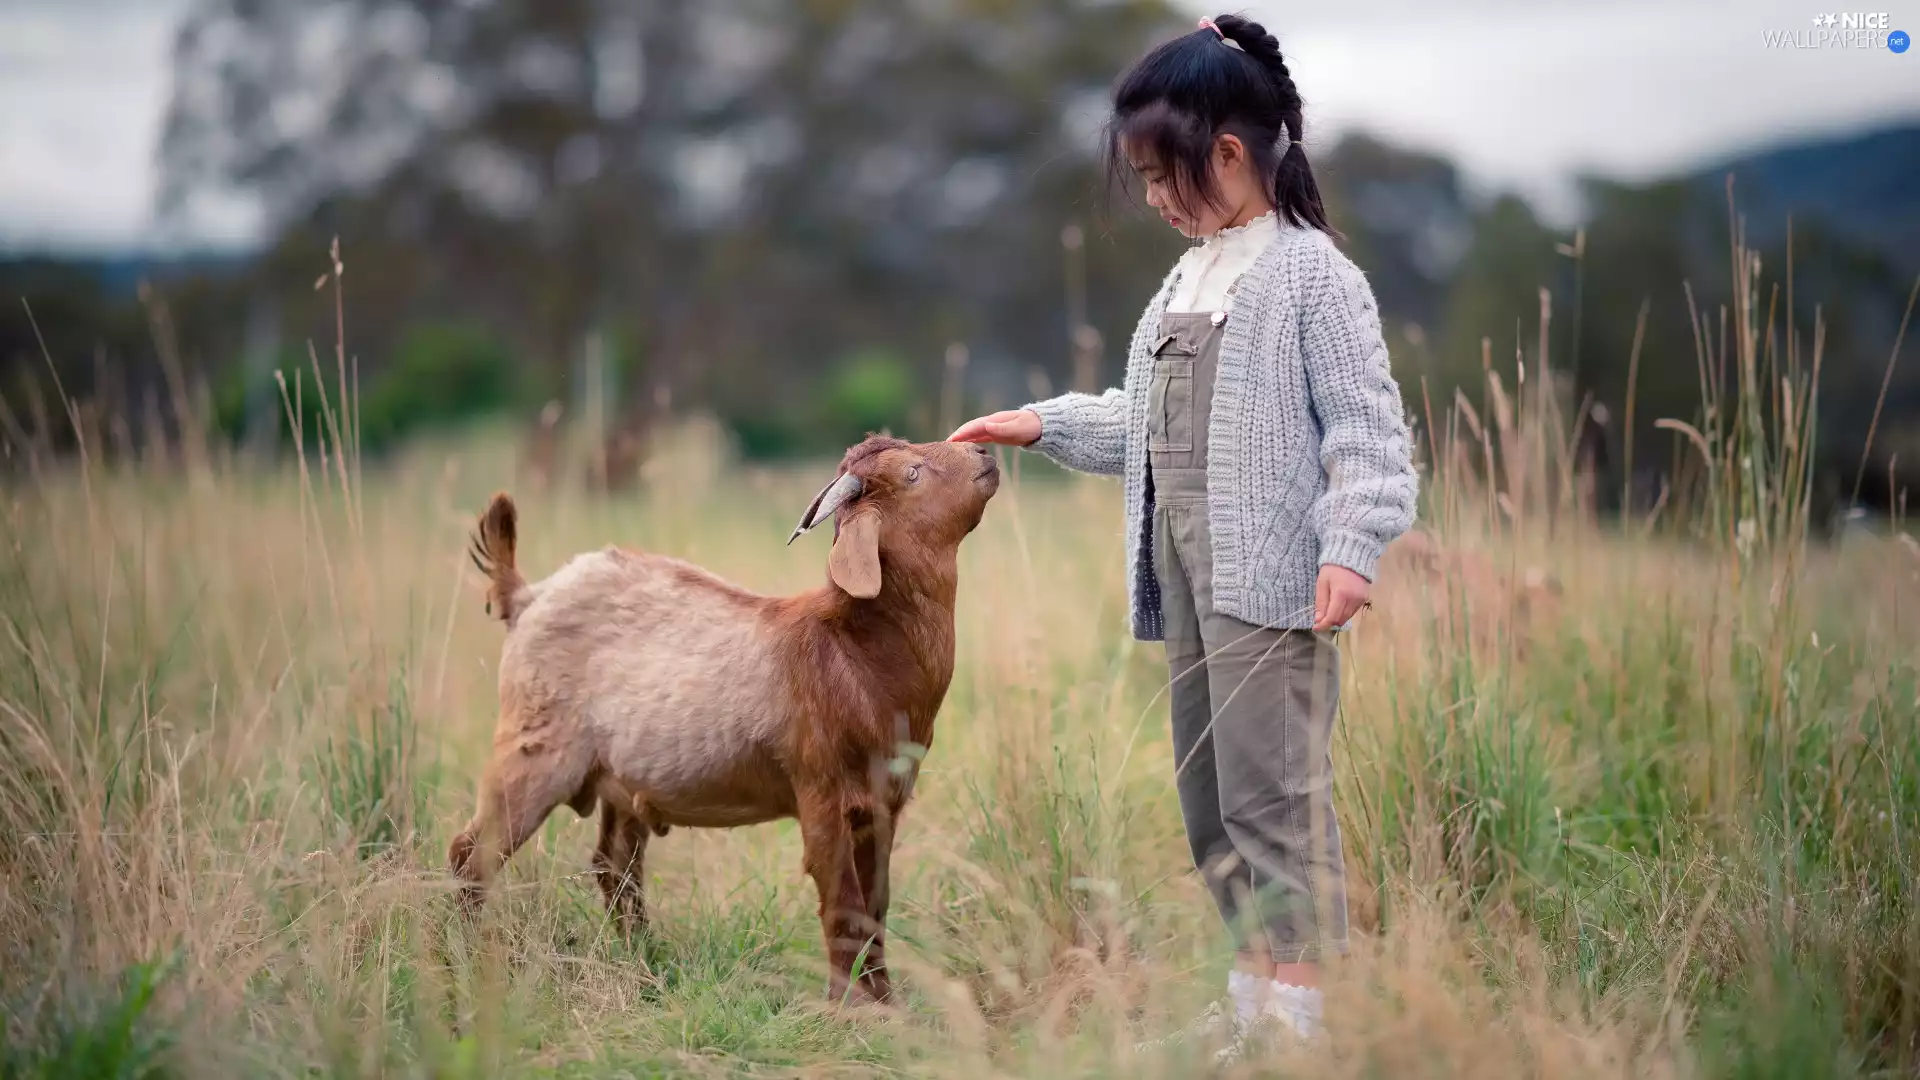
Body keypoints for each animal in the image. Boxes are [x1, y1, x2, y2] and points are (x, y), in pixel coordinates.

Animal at [452, 435, 1000, 1003]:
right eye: (912, 473)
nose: (984, 452)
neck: (854, 652)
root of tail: (528, 596)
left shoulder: (884, 802)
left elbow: (874, 906)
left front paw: (885, 1002)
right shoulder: (820, 791)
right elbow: (843, 903)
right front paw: (848, 1008)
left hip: (618, 780)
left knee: (614, 865)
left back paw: (645, 961)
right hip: (534, 749)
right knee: (472, 852)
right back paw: (466, 957)